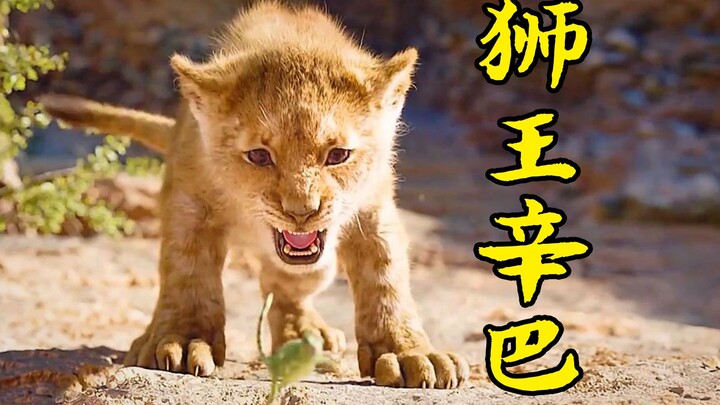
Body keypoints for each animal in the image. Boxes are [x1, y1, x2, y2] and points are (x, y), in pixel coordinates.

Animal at [40, 1, 470, 389]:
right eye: (260, 156)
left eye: (338, 155)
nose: (301, 211)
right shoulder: (190, 202)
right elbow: (188, 271)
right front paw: (181, 339)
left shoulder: (373, 209)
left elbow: (386, 279)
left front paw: (407, 352)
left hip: (320, 264)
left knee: (286, 288)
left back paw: (305, 333)